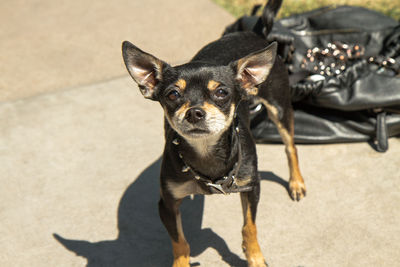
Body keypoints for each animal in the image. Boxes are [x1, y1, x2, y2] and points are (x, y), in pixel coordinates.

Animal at [122, 1, 306, 266]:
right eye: (172, 95)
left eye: (221, 92)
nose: (195, 112)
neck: (207, 153)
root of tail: (255, 32)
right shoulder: (167, 204)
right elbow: (180, 242)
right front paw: (181, 263)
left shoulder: (251, 188)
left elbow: (249, 227)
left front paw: (255, 257)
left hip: (279, 108)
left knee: (290, 146)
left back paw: (296, 183)